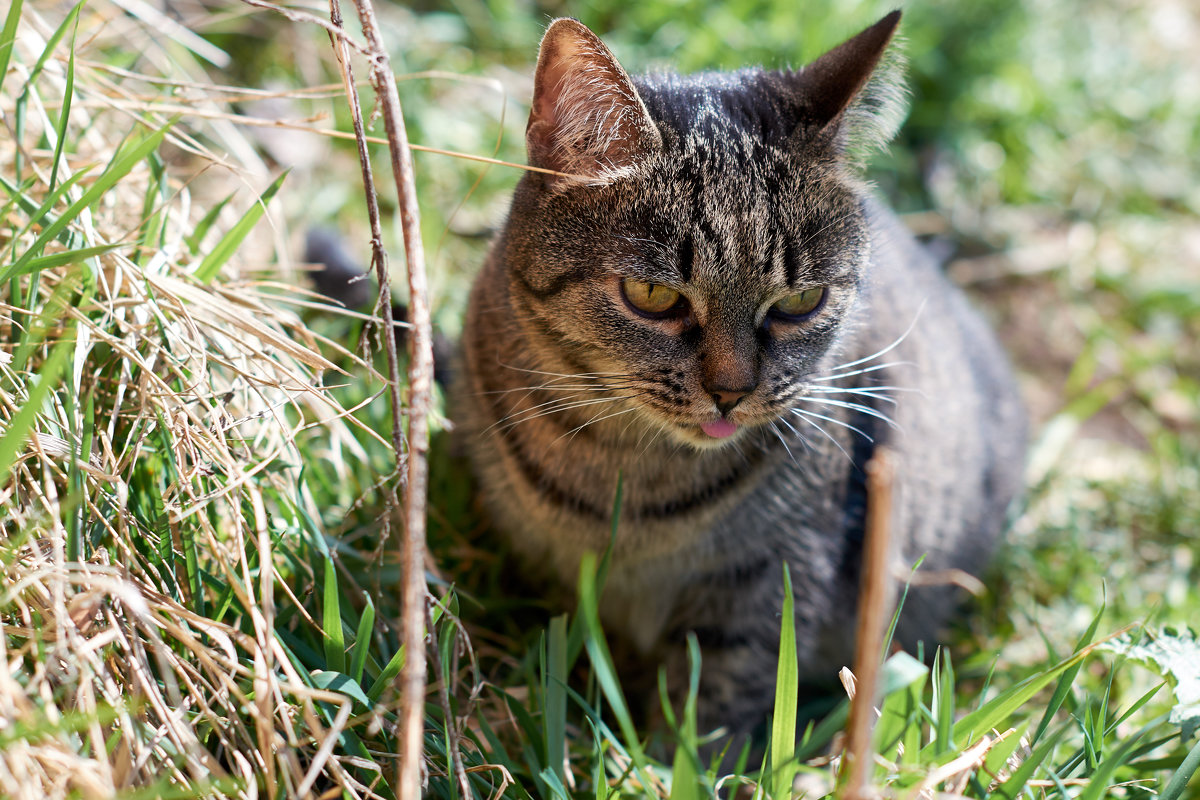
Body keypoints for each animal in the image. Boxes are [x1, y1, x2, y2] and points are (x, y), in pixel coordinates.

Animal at [453, 12, 1027, 734]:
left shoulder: (769, 579)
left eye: (801, 301)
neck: (630, 480)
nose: (732, 392)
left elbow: (715, 701)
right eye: (652, 295)